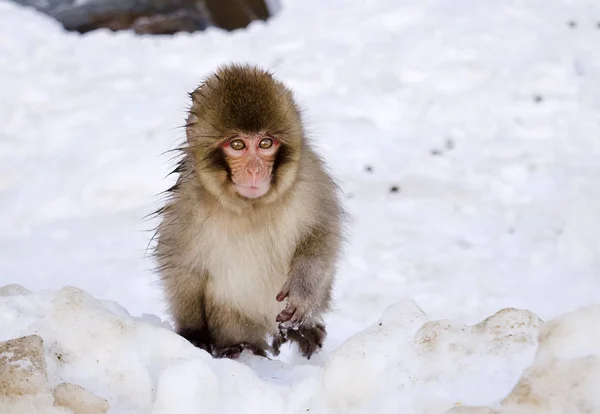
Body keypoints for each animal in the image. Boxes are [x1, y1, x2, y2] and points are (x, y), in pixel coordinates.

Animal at [152, 64, 344, 360]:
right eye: (237, 145)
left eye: (265, 143)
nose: (254, 170)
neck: (252, 206)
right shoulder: (187, 206)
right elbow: (180, 266)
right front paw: (194, 335)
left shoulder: (311, 181)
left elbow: (323, 233)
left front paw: (301, 291)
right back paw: (239, 347)